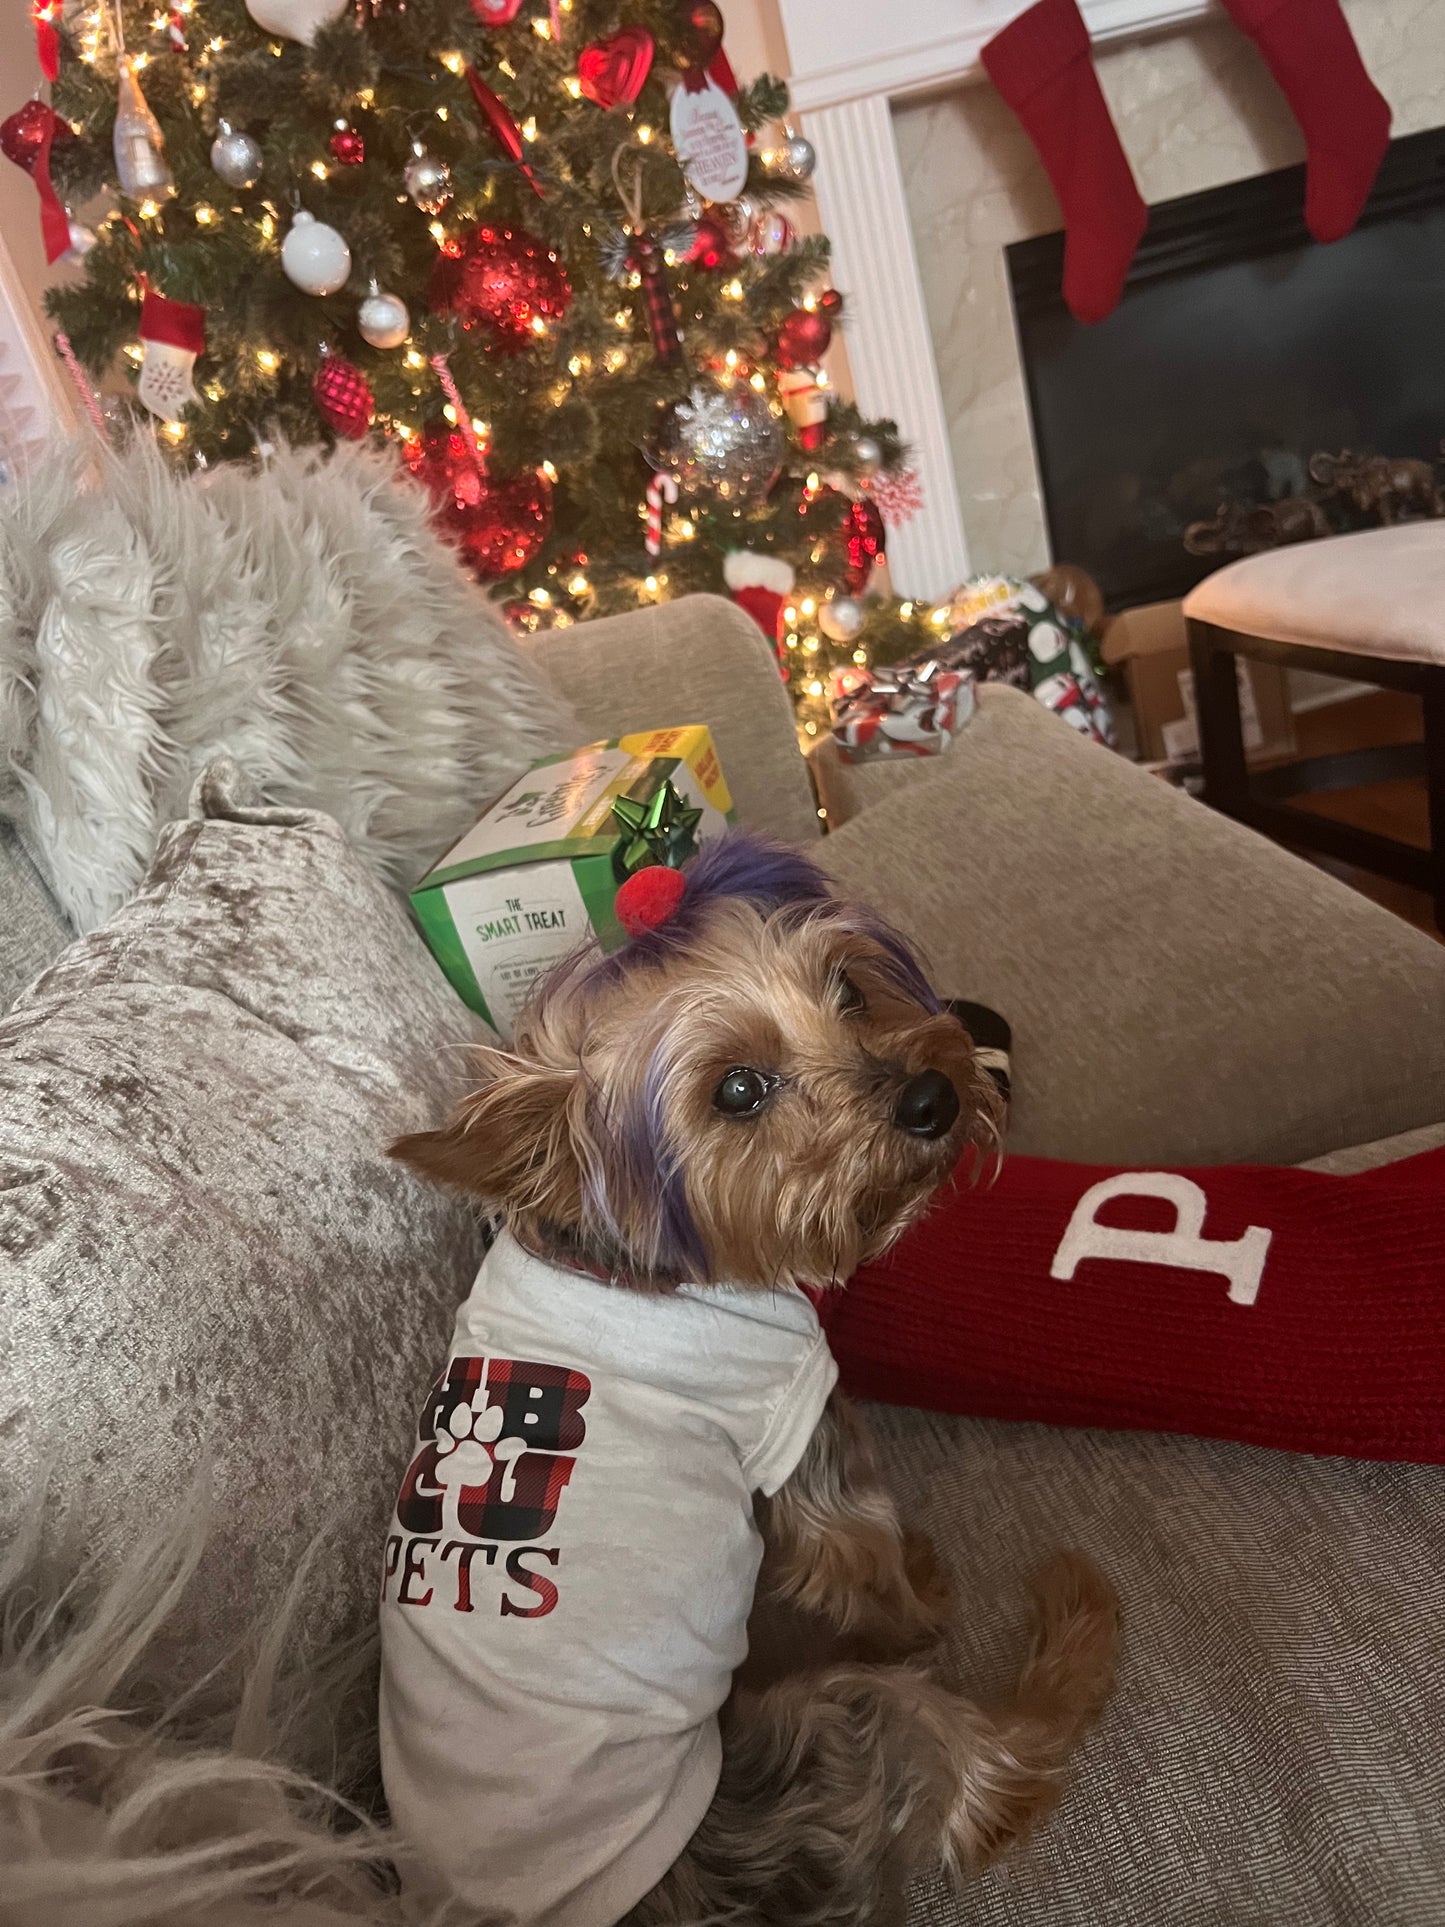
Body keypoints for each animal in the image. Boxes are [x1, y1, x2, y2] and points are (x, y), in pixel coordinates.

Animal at [379, 840, 1117, 1927]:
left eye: (848, 988)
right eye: (736, 1089)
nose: (933, 1095)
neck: (623, 1261)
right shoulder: (799, 1426)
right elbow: (868, 1566)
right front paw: (923, 1604)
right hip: (826, 1743)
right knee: (986, 1776)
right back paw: (1074, 1625)